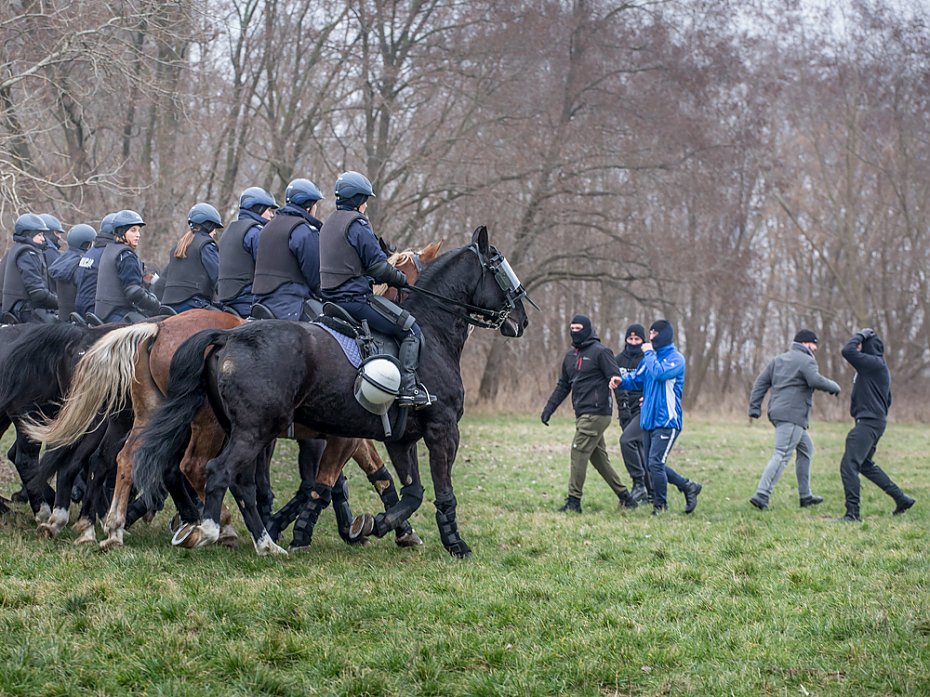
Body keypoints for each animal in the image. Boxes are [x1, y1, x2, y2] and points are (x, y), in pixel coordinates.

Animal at [24, 242, 438, 552]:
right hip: (200, 424)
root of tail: (155, 330)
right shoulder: (343, 434)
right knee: (177, 467)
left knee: (117, 459)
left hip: (140, 418)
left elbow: (345, 478)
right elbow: (341, 478)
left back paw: (103, 526)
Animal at [136, 226, 528, 556]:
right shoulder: (438, 431)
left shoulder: (396, 438)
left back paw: (262, 542)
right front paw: (454, 543)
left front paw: (378, 526)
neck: (430, 335)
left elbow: (404, 490)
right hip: (247, 431)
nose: (521, 321)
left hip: (244, 432)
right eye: (500, 267)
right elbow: (435, 490)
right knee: (212, 471)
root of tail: (228, 337)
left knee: (230, 480)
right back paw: (209, 528)